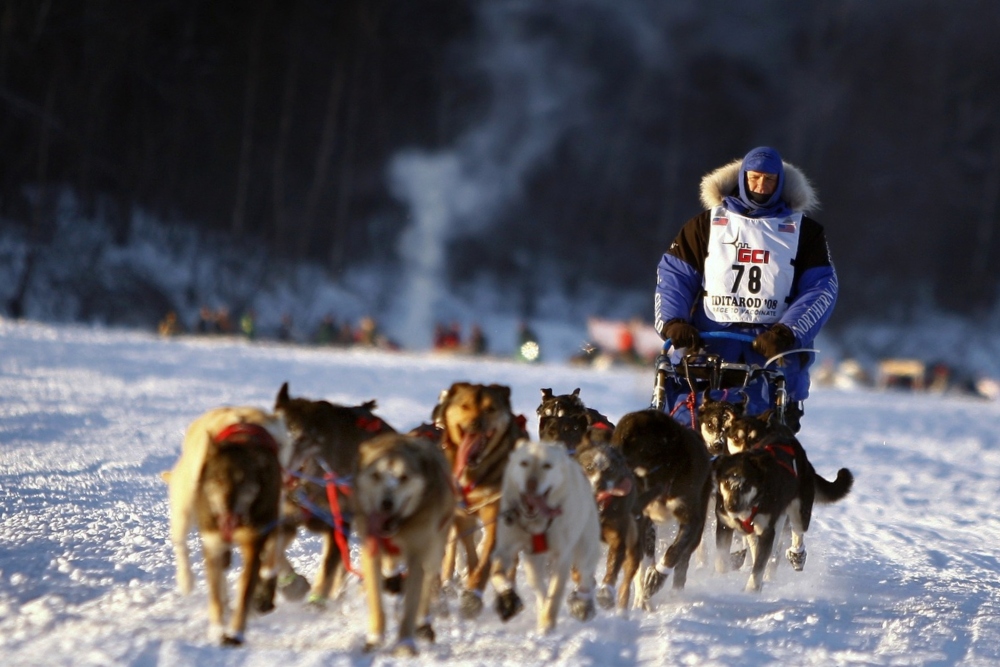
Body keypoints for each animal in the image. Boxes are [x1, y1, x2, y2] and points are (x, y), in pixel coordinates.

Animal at [165, 404, 292, 644]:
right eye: (218, 479)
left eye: (243, 481)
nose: (226, 509)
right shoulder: (213, 543)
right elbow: (215, 593)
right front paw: (217, 629)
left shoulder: (256, 538)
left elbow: (247, 588)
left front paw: (236, 631)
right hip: (184, 507)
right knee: (181, 546)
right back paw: (186, 580)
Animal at [354, 434, 456, 656]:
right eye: (376, 475)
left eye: (404, 477)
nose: (386, 503)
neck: (399, 527)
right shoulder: (371, 551)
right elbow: (376, 600)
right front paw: (375, 639)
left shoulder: (418, 555)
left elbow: (412, 603)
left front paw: (405, 644)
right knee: (390, 569)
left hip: (434, 552)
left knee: (427, 588)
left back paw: (423, 624)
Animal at [442, 380, 528, 620]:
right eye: (465, 406)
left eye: (490, 409)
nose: (476, 424)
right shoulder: (463, 514)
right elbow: (472, 554)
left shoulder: (496, 514)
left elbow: (487, 558)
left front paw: (474, 595)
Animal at [488, 440, 596, 636]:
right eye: (524, 463)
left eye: (547, 465)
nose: (531, 484)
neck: (538, 523)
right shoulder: (506, 548)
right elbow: (497, 572)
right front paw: (507, 595)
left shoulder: (562, 557)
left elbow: (556, 592)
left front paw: (548, 624)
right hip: (533, 562)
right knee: (539, 587)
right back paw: (540, 607)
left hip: (586, 546)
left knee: (585, 575)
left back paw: (583, 604)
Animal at [716, 430, 856, 592]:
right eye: (726, 482)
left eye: (747, 485)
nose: (731, 506)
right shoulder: (725, 525)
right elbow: (721, 559)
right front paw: (720, 580)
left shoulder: (768, 530)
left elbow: (758, 567)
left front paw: (751, 590)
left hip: (799, 512)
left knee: (797, 532)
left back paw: (797, 554)